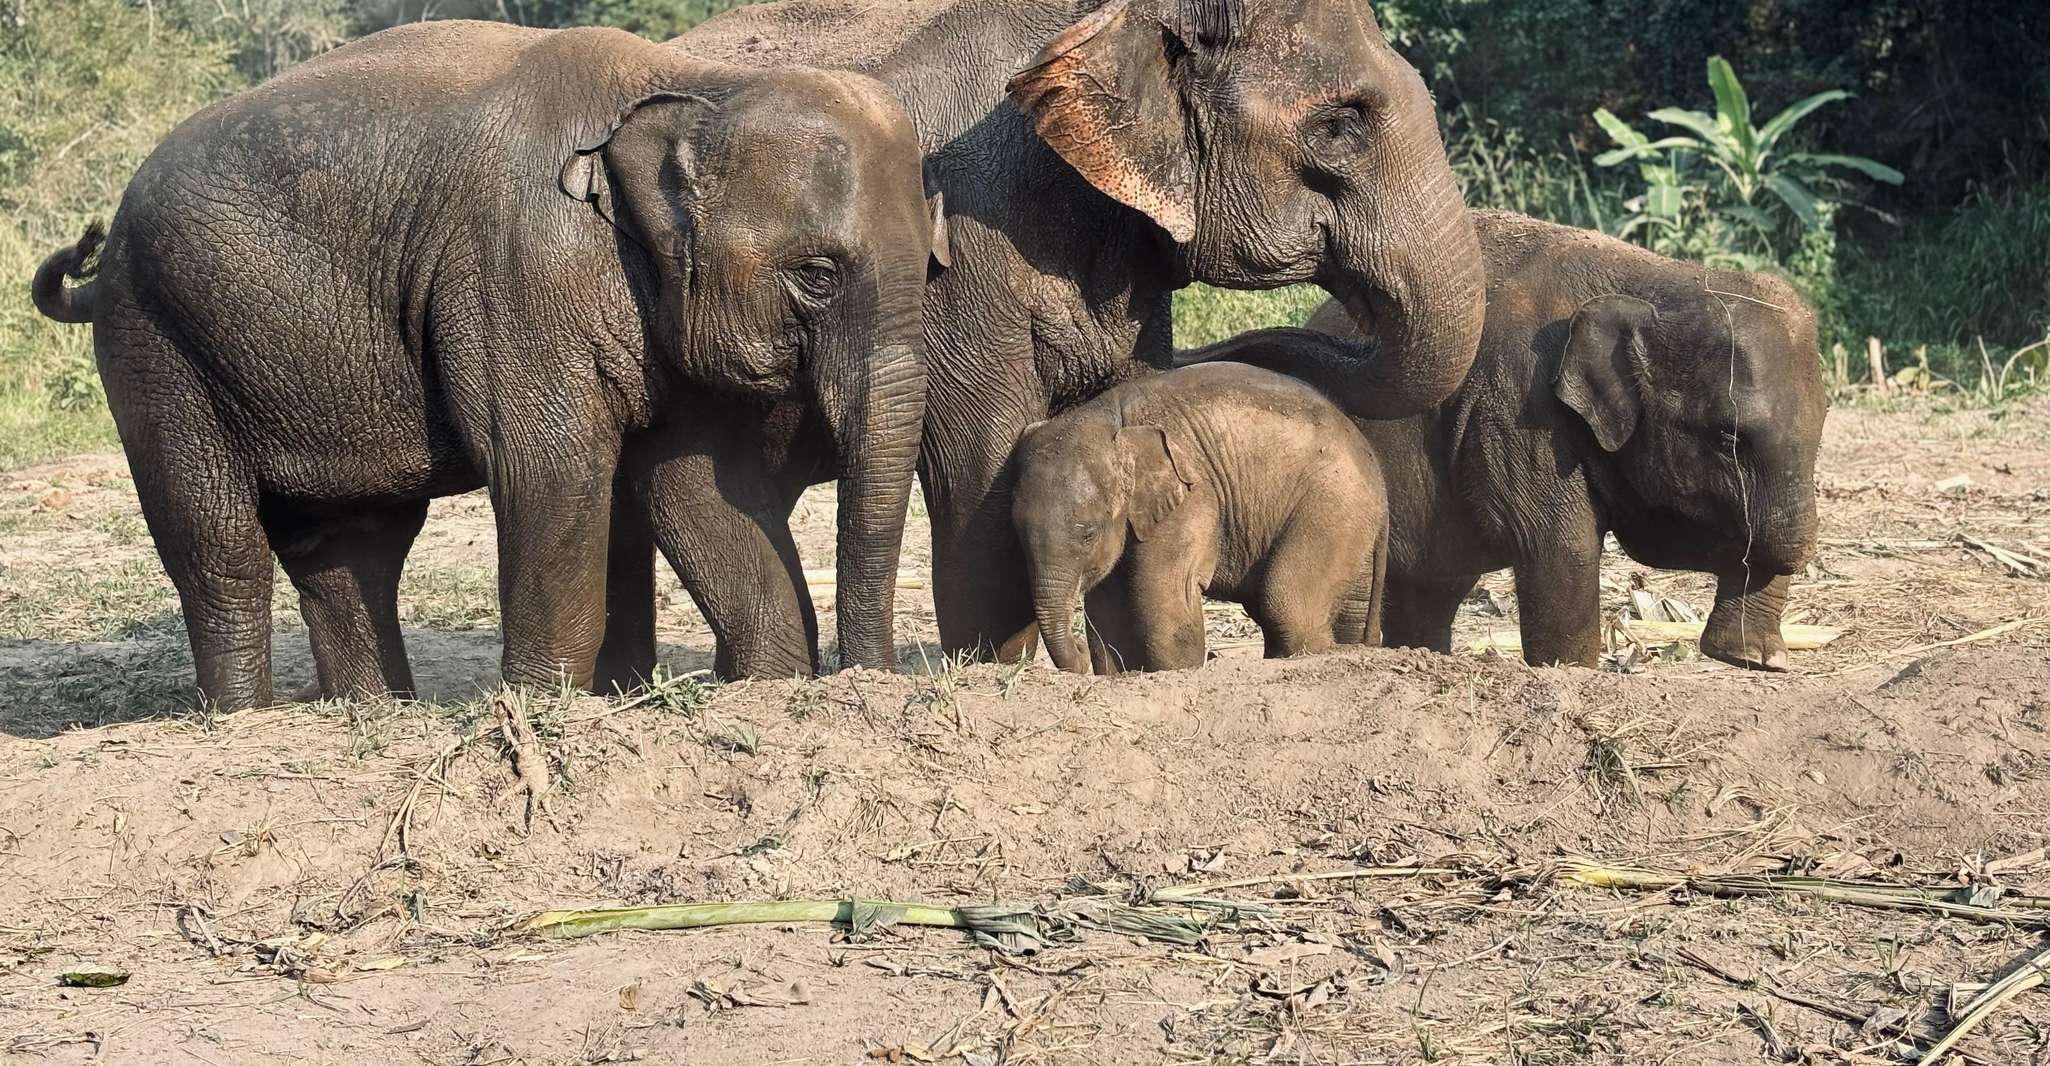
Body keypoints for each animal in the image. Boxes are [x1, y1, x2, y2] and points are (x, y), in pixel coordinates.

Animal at [28, 21, 942, 709]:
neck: (698, 83)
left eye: (934, 266)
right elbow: (552, 470)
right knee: (219, 542)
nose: (868, 684)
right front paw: (542, 706)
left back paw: (374, 713)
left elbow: (702, 490)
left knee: (350, 545)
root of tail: (104, 257)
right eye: (816, 275)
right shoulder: (517, 268)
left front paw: (772, 688)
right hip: (156, 343)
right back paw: (245, 720)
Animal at [1010, 361, 1388, 673]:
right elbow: (1107, 605)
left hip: (1332, 506)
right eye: (1018, 537)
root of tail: (1374, 466)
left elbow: (1166, 589)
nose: (1077, 653)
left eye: (1088, 533)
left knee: (1285, 604)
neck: (1110, 417)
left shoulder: (1194, 494)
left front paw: (1180, 671)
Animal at [1180, 209, 1828, 670]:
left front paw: (1756, 660)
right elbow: (1561, 545)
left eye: (1821, 432)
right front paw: (1573, 672)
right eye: (1727, 438)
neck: (1655, 278)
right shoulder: (1519, 408)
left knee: (1430, 590)